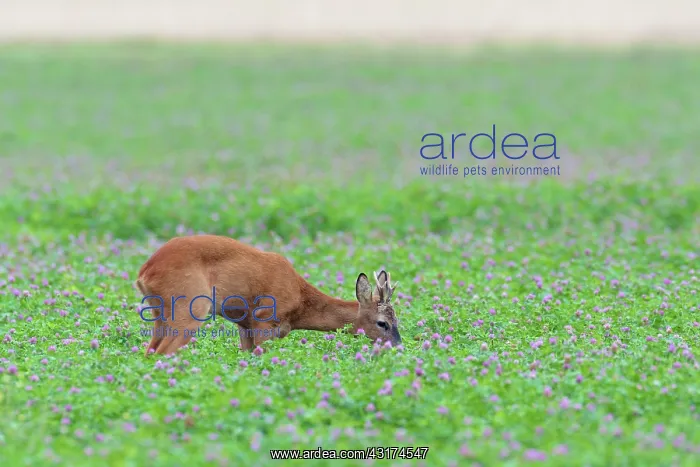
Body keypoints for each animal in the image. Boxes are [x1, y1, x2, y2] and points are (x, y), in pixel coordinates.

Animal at [134, 234, 402, 356]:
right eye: (383, 323)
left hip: (159, 312)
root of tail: (146, 271)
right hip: (190, 308)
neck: (300, 303)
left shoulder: (245, 325)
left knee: (150, 351)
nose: (399, 346)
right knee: (163, 352)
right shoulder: (265, 320)